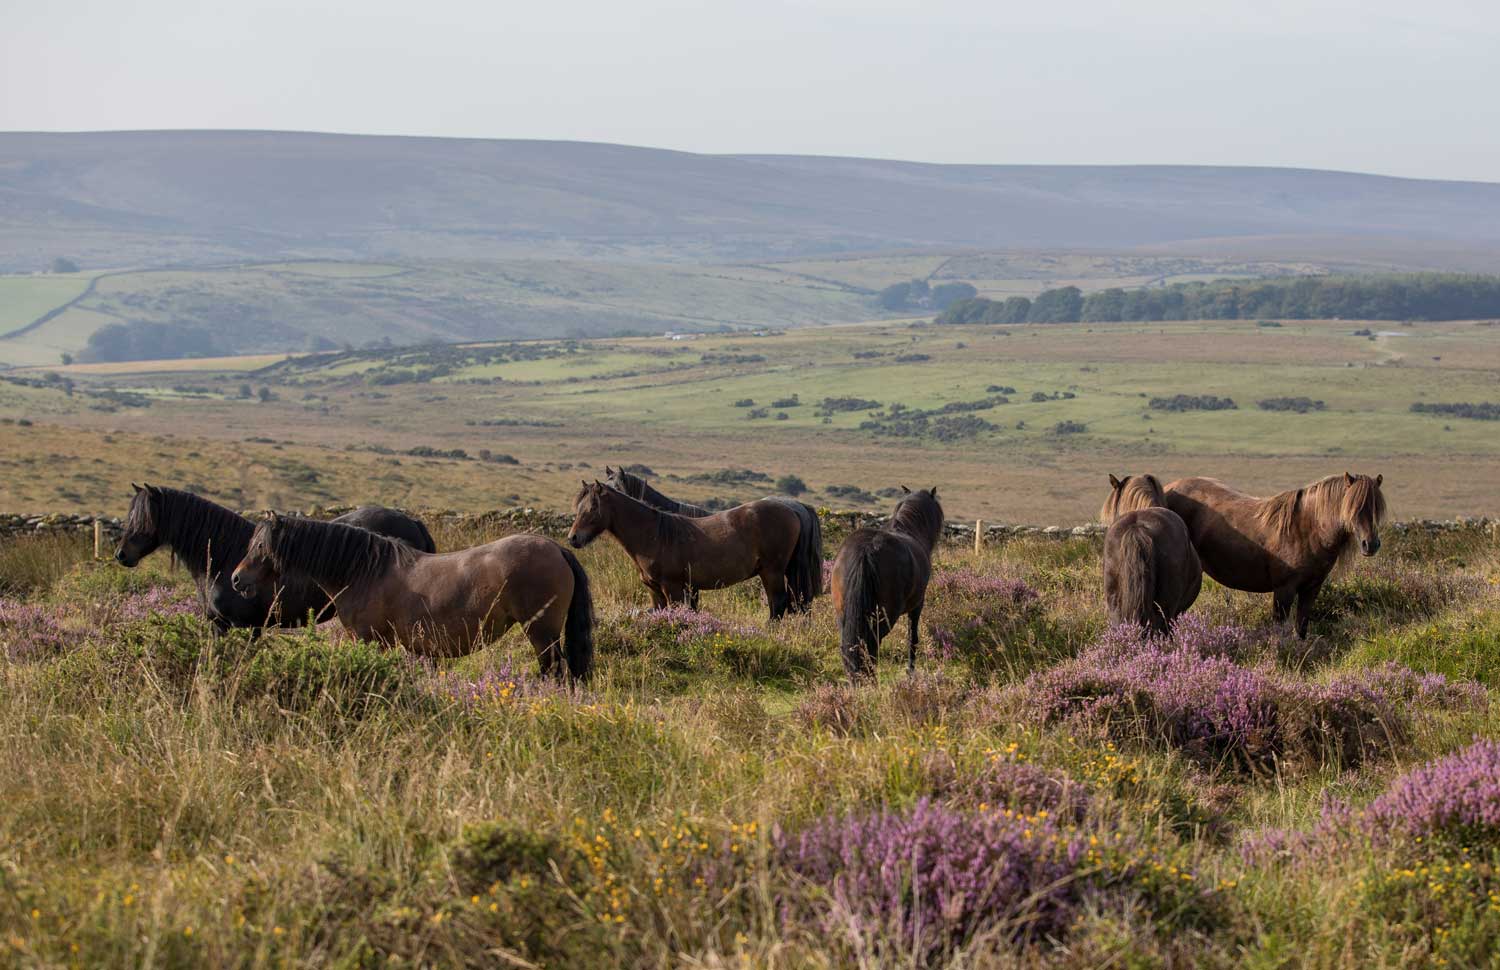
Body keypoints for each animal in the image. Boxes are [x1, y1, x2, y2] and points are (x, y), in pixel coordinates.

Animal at [230, 513, 594, 678]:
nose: (236, 579)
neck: (363, 571)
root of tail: (557, 549)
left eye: (260, 546)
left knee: (554, 670)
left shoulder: (370, 640)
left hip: (541, 632)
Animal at [567, 481, 822, 618]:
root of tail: (793, 507)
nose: (573, 538)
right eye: (577, 506)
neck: (654, 536)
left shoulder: (673, 588)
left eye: (592, 507)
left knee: (778, 604)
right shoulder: (656, 591)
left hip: (772, 572)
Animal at [830, 487, 944, 680]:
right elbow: (912, 638)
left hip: (843, 614)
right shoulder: (917, 605)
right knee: (871, 645)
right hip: (886, 615)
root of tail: (867, 549)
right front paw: (910, 671)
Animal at [1164, 473, 1386, 637]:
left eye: (1376, 507)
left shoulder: (1311, 589)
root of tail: (1168, 488)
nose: (1371, 544)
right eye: (1354, 507)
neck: (1307, 529)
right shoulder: (1284, 590)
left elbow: (1301, 628)